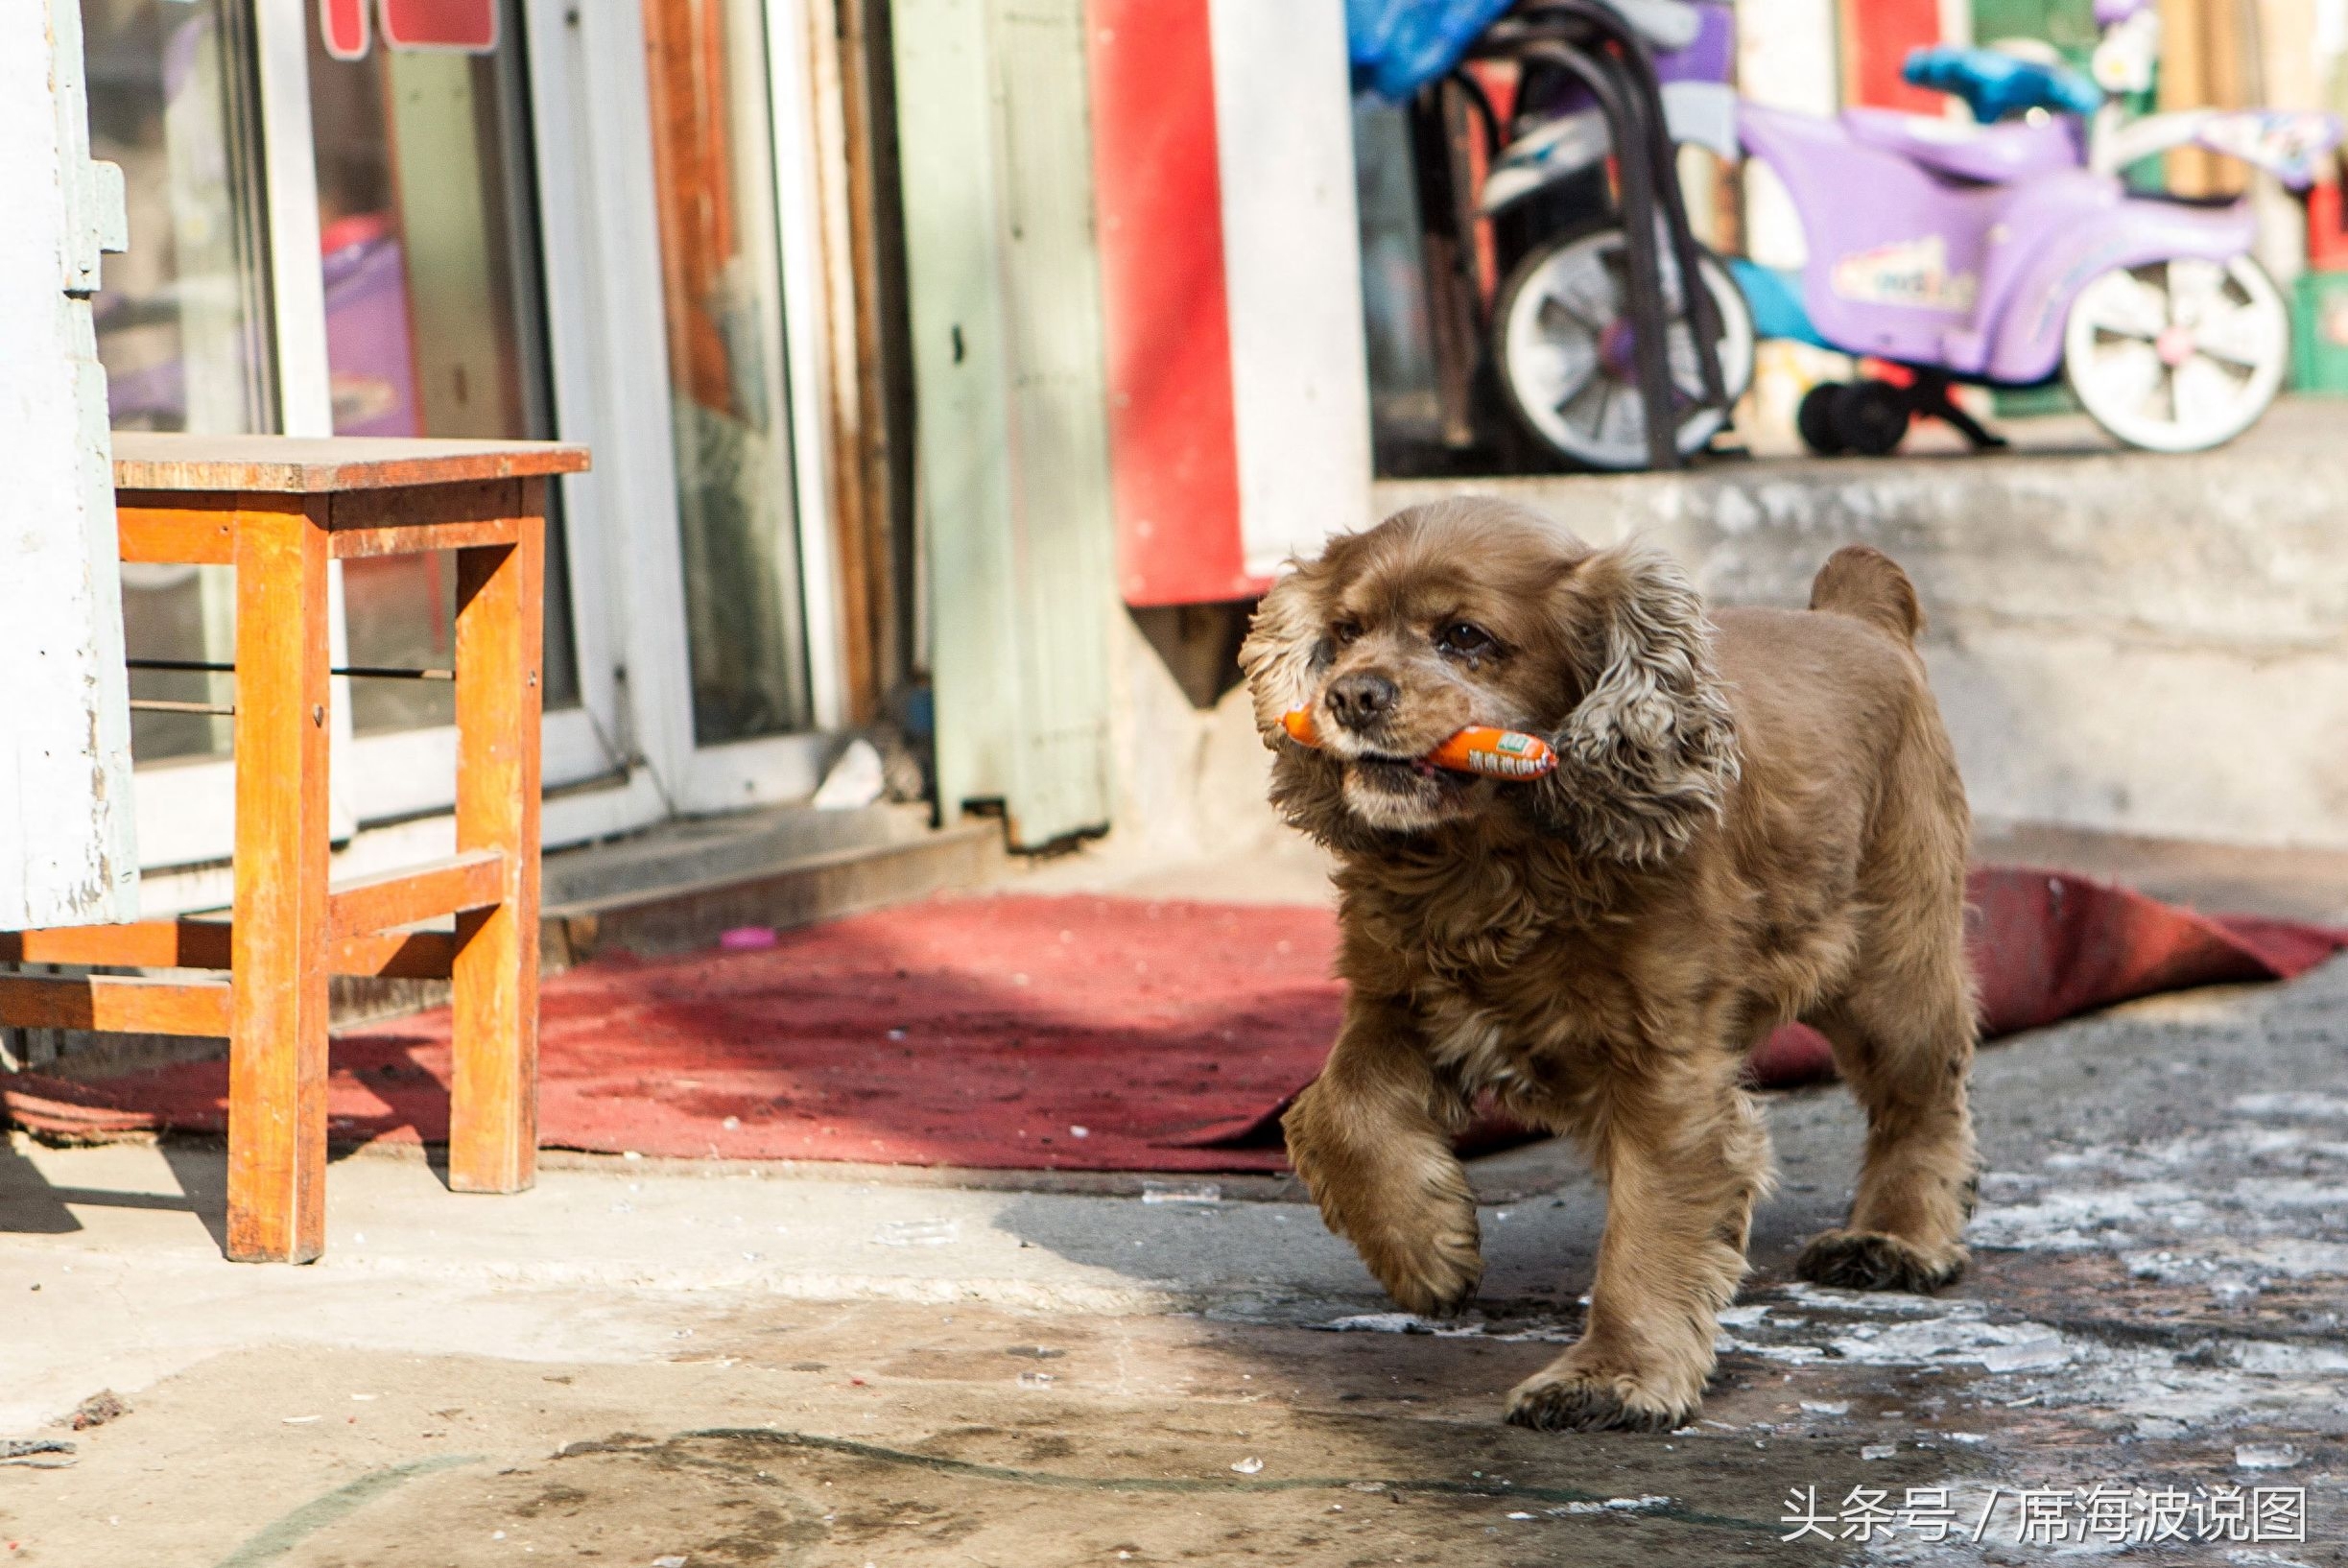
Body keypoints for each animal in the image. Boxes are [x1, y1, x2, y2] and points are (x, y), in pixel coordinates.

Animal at [1240, 500, 1972, 1437]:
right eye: (1344, 631)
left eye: (1464, 636)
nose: (1349, 694)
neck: (1492, 862)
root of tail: (1857, 617)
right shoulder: (1399, 999)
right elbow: (1340, 1111)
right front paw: (1426, 1249)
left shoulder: (1666, 1071)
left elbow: (1648, 1226)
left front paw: (1610, 1378)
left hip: (1890, 967)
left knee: (1922, 1100)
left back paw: (1895, 1239)